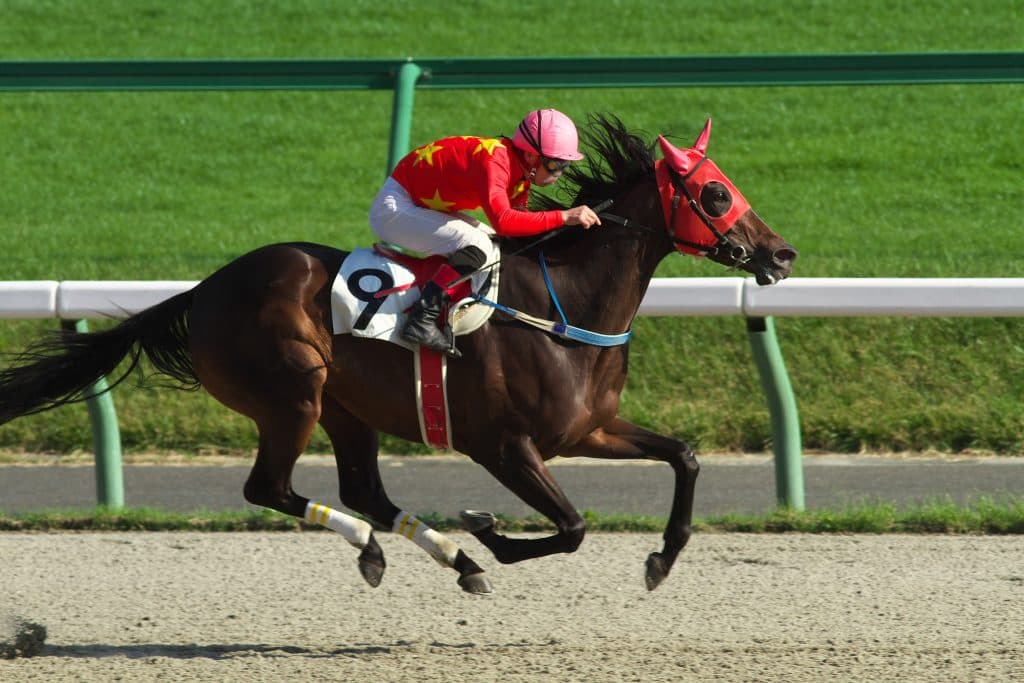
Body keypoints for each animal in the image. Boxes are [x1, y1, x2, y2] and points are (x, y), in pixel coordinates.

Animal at [0, 115, 796, 594]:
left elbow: (684, 457)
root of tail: (204, 289)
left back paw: (448, 557)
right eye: (716, 194)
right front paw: (493, 532)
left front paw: (661, 558)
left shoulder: (587, 429)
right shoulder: (504, 445)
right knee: (272, 488)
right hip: (293, 393)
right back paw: (395, 548)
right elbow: (571, 529)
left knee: (365, 492)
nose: (782, 254)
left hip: (346, 408)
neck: (565, 306)